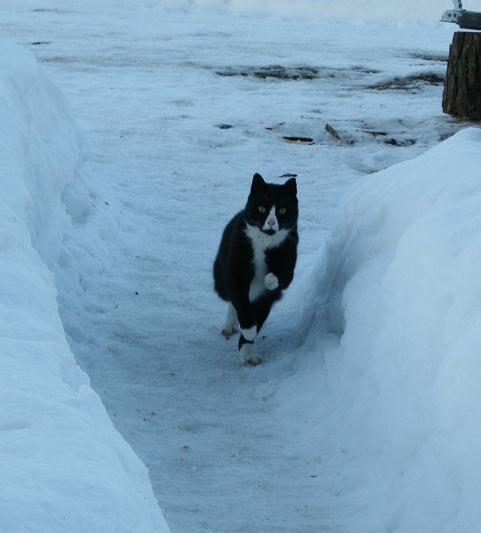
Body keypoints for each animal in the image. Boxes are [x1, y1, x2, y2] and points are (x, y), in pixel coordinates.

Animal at [213, 172, 296, 364]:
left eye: (282, 210)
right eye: (261, 208)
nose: (271, 222)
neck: (264, 243)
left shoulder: (288, 255)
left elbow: (282, 278)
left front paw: (248, 353)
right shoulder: (236, 272)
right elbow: (241, 302)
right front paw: (249, 330)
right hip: (220, 277)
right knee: (230, 297)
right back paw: (229, 325)